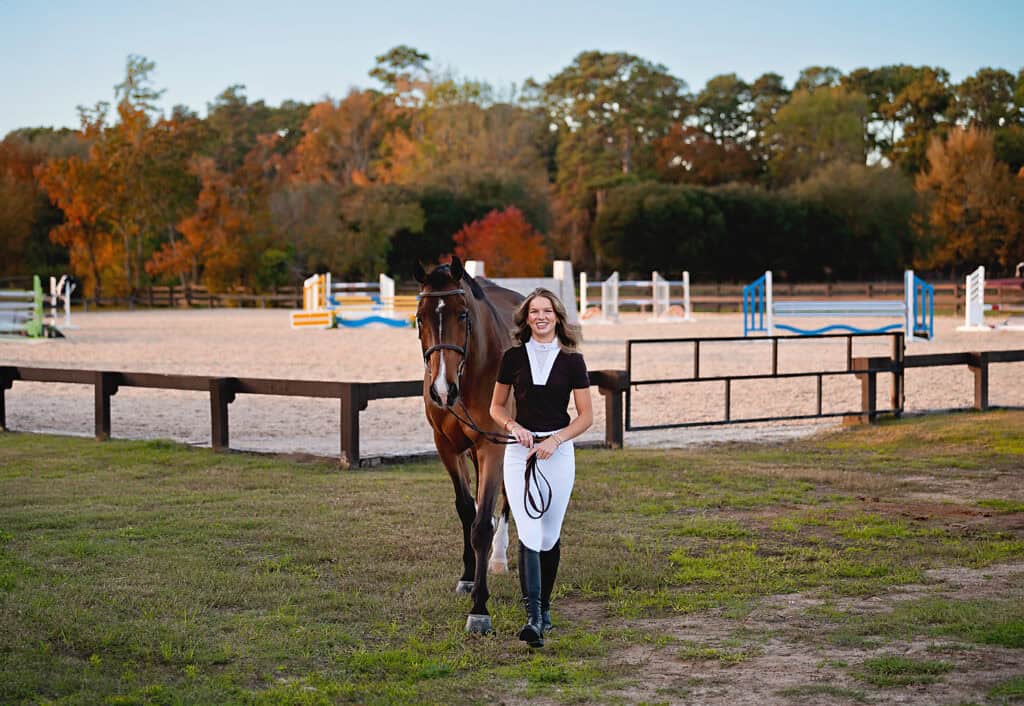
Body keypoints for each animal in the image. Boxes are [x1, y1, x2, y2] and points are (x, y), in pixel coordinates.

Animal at [413, 255, 524, 635]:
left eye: (463, 315)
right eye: (420, 317)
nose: (442, 390)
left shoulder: (492, 447)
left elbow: (481, 526)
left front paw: (479, 609)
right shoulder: (447, 446)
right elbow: (466, 511)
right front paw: (466, 578)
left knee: (507, 499)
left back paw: (500, 558)